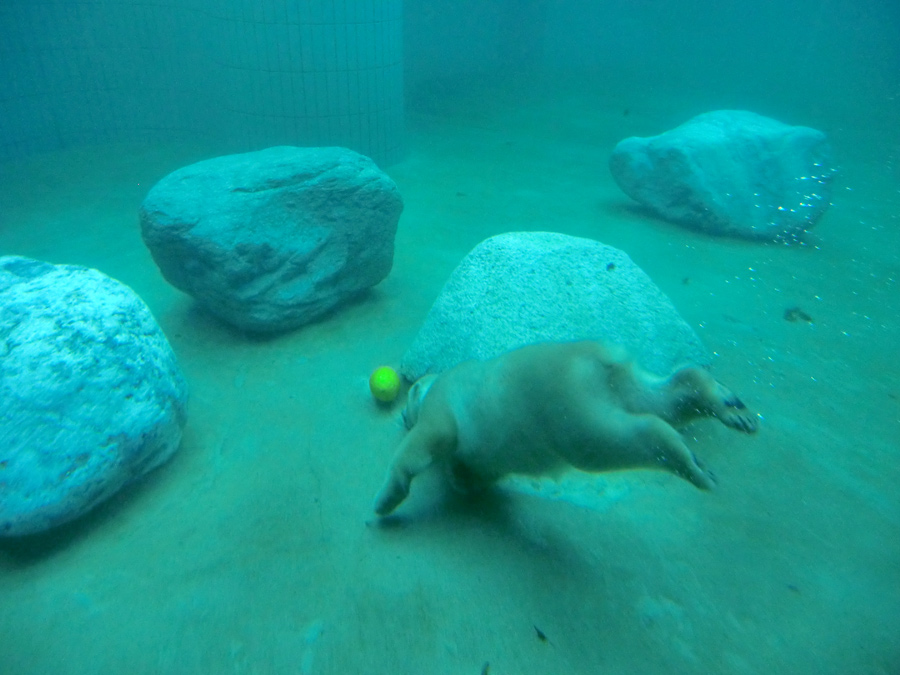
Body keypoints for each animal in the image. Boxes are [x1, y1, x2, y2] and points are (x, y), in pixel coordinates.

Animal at [370, 344, 756, 516]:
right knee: (662, 397)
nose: (402, 415)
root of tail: (595, 357)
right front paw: (463, 480)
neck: (439, 381)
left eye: (409, 403)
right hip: (620, 384)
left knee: (620, 438)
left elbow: (430, 440)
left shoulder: (443, 399)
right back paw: (732, 410)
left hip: (565, 408)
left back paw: (693, 465)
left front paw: (384, 500)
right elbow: (475, 471)